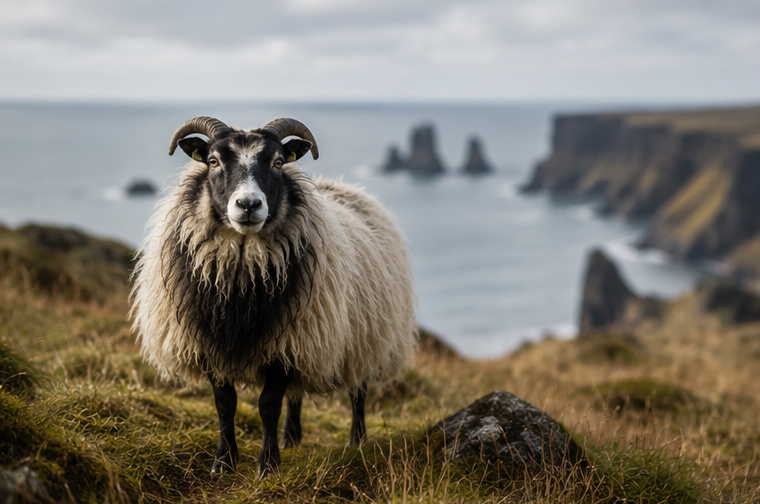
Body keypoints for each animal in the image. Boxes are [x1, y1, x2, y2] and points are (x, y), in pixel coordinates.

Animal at [131, 117, 417, 477]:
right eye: (213, 161)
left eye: (278, 162)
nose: (249, 205)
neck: (239, 289)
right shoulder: (211, 343)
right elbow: (225, 404)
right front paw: (224, 462)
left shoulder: (286, 345)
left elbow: (268, 405)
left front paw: (268, 466)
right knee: (296, 393)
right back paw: (290, 437)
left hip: (363, 337)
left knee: (358, 391)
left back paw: (357, 441)